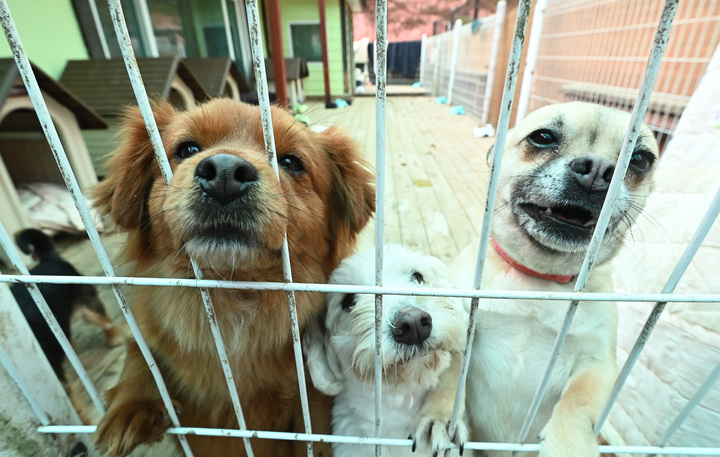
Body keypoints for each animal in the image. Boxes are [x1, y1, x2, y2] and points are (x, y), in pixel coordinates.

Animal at [92, 99, 374, 456]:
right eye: (187, 149)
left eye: (291, 162)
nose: (225, 172)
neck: (233, 298)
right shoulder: (145, 327)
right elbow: (139, 352)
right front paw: (133, 404)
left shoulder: (311, 402)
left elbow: (315, 439)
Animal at [452, 102, 660, 456]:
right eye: (543, 137)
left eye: (640, 159)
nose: (598, 169)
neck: (539, 280)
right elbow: (447, 378)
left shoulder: (597, 365)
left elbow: (577, 402)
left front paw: (569, 445)